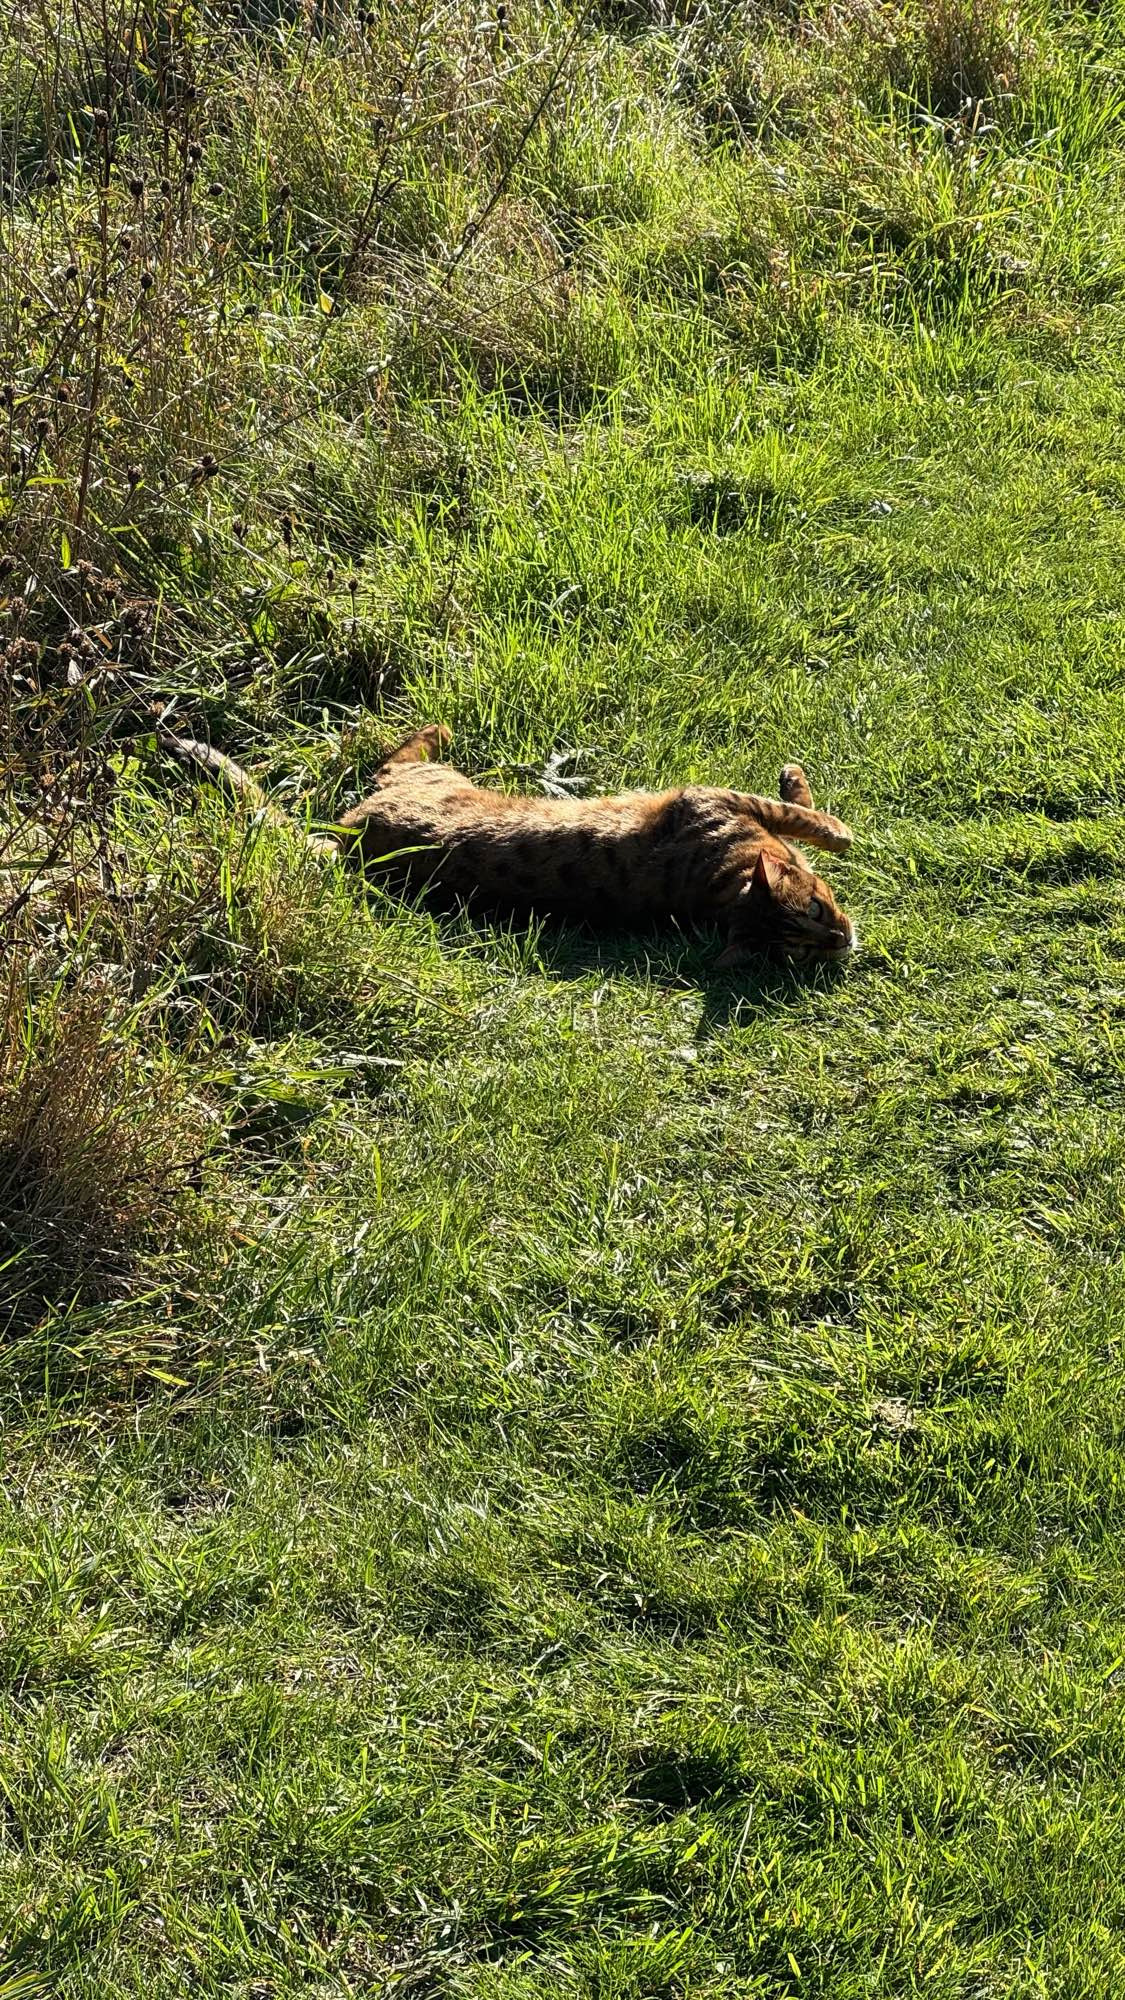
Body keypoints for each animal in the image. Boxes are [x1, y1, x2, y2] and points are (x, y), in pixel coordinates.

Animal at [162, 724, 852, 972]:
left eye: (807, 941)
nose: (843, 941)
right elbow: (804, 813)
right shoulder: (721, 800)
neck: (717, 882)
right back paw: (437, 727)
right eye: (811, 921)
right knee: (397, 754)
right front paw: (832, 821)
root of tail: (349, 842)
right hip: (428, 779)